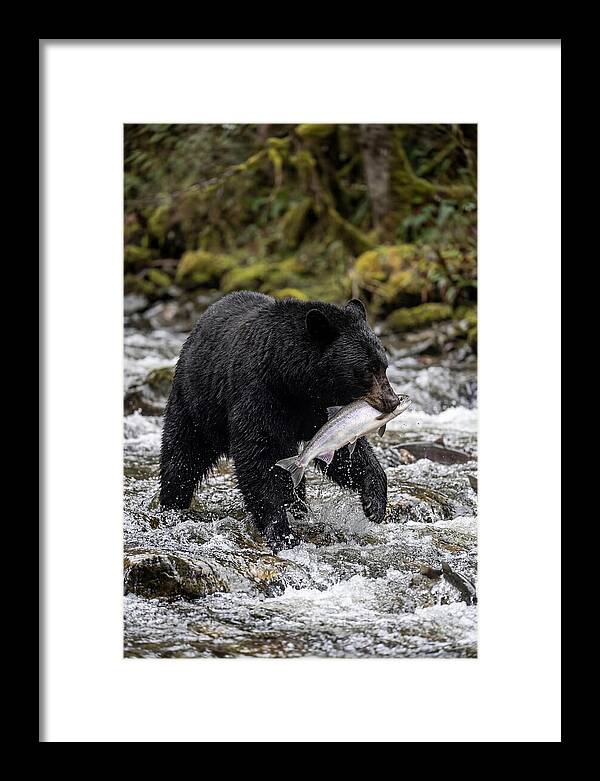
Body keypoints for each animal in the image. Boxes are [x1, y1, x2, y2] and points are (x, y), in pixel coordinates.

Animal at [159, 291, 400, 551]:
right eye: (367, 369)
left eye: (384, 366)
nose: (392, 401)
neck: (292, 379)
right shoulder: (259, 393)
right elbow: (258, 455)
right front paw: (281, 531)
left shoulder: (319, 408)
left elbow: (342, 449)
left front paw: (375, 503)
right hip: (196, 403)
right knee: (182, 455)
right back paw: (172, 505)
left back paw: (299, 508)